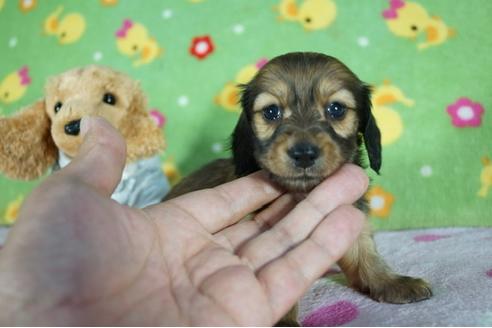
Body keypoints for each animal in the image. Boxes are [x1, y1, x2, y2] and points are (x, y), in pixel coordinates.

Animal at [164, 52, 430, 324]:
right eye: (271, 111)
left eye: (336, 109)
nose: (303, 154)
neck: (304, 192)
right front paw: (283, 321)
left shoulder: (352, 213)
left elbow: (366, 254)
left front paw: (391, 281)